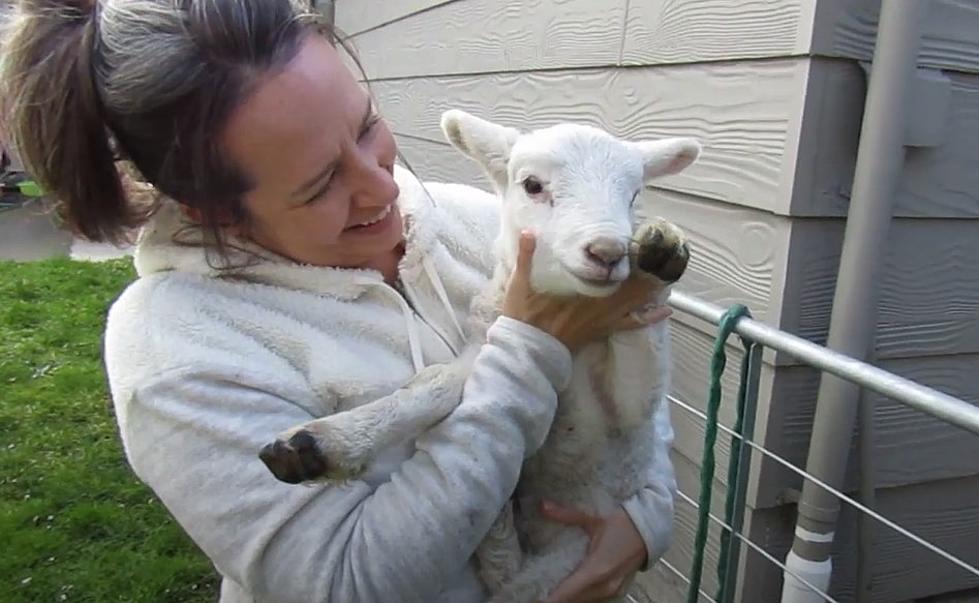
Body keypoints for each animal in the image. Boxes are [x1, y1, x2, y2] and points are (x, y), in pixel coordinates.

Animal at [260, 109, 700, 603]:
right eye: (532, 185)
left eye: (634, 194)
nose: (607, 252)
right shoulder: (486, 339)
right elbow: (438, 383)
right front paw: (318, 444)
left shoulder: (628, 414)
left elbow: (641, 373)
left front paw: (662, 250)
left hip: (573, 554)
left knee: (518, 586)